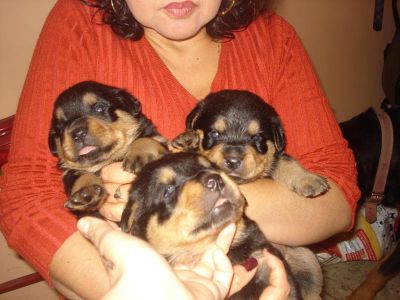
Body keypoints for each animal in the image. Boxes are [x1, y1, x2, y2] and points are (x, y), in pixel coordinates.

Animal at [48, 81, 167, 214]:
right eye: (61, 125)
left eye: (98, 107)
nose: (78, 133)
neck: (106, 161)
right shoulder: (69, 173)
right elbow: (80, 175)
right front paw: (86, 192)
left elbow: (145, 139)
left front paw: (140, 155)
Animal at [172, 90, 328, 198]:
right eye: (215, 133)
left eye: (257, 137)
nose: (233, 161)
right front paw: (188, 141)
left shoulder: (275, 154)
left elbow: (283, 160)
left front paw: (308, 178)